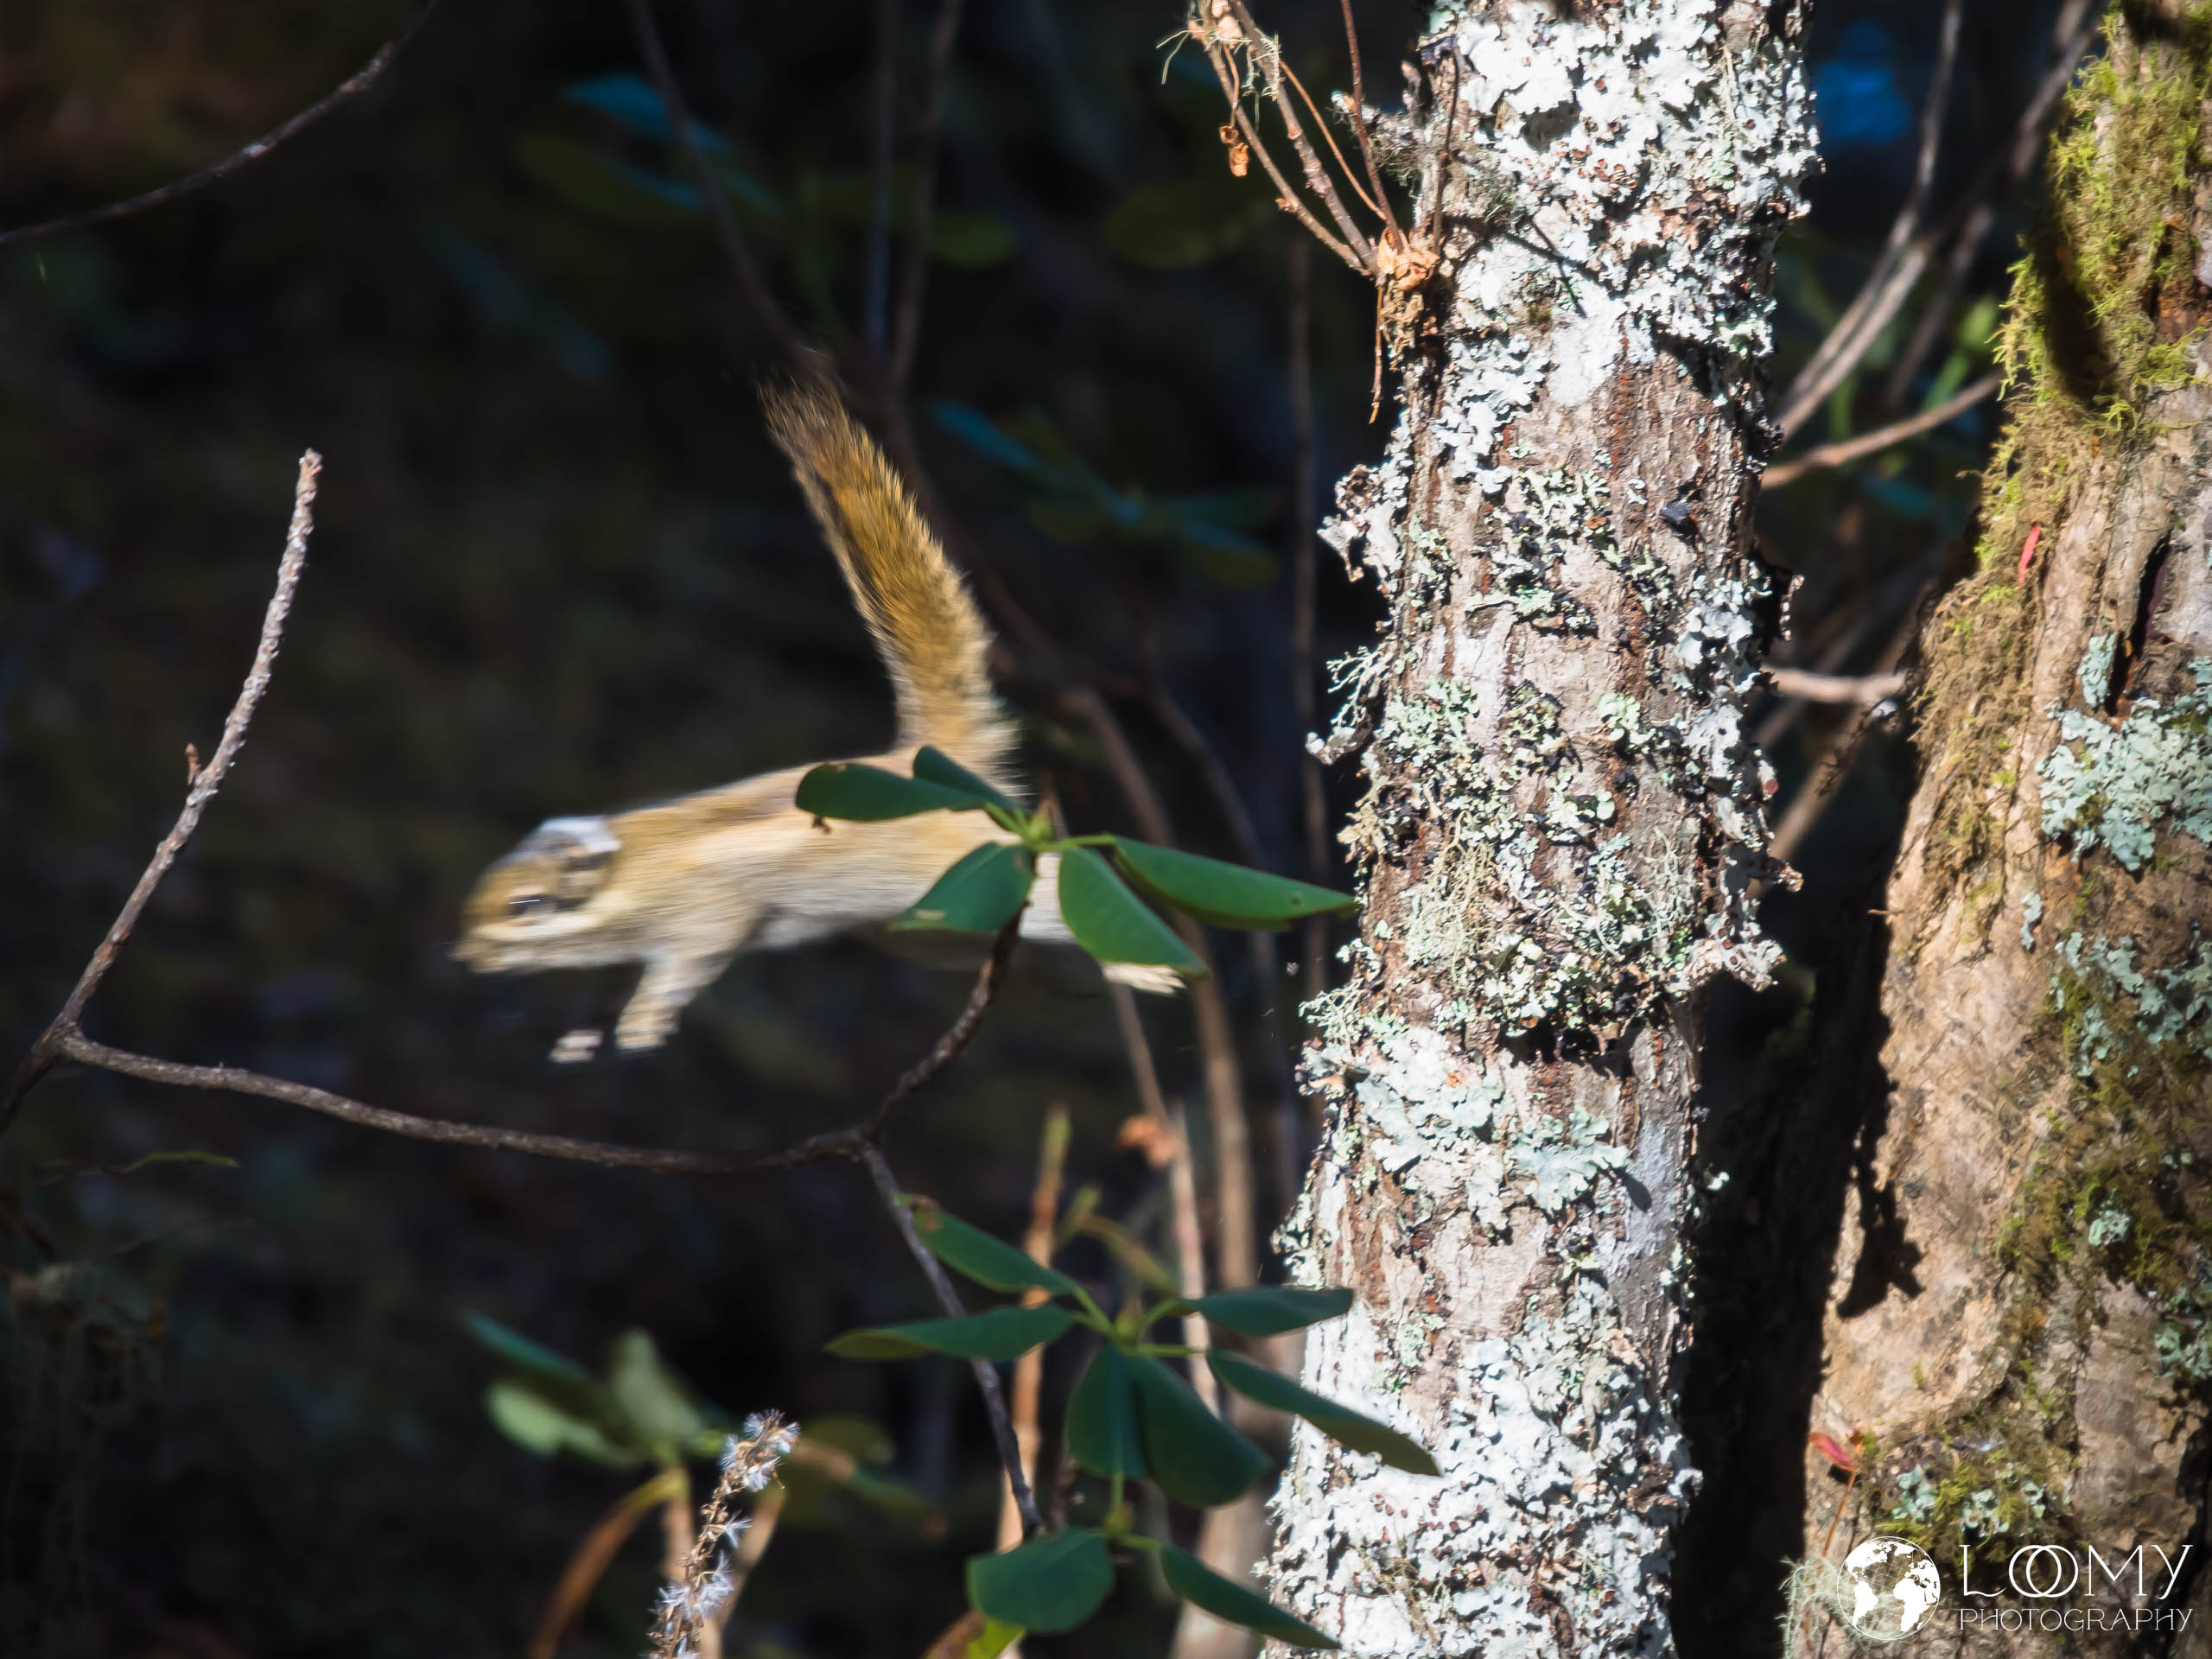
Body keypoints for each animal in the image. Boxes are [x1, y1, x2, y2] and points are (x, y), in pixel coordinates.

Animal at [454, 381, 1174, 1052]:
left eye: (525, 906)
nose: (465, 958)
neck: (625, 873)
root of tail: (935, 763)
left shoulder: (705, 912)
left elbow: (691, 958)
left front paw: (643, 1021)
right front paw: (582, 1034)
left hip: (1000, 871)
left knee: (1066, 905)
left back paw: (1137, 968)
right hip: (935, 926)